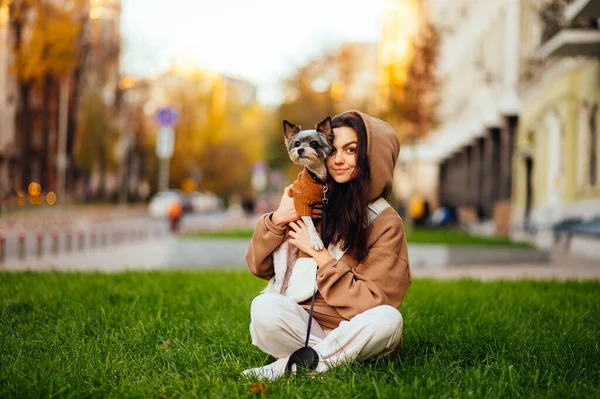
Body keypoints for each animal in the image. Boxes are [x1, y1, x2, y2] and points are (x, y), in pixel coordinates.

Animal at [266, 117, 336, 296]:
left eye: (314, 144)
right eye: (297, 143)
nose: (300, 150)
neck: (318, 179)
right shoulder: (301, 202)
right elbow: (310, 224)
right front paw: (316, 241)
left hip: (291, 267)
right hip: (282, 262)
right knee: (277, 287)